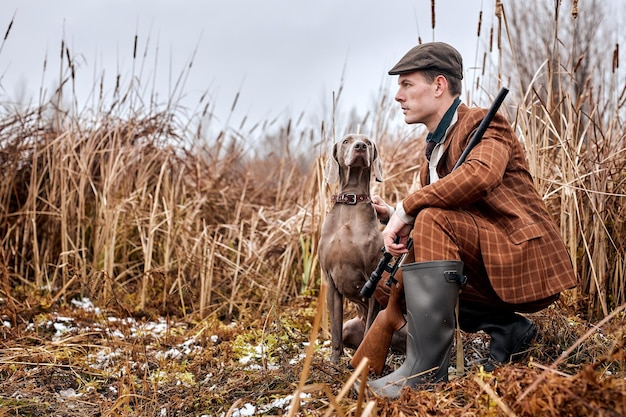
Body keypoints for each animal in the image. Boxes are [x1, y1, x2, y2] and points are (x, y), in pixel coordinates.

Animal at [320, 133, 382, 360]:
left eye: (369, 142)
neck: (351, 202)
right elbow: (335, 330)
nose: (360, 146)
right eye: (347, 140)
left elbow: (371, 330)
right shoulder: (330, 281)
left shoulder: (373, 279)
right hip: (350, 326)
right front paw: (334, 361)